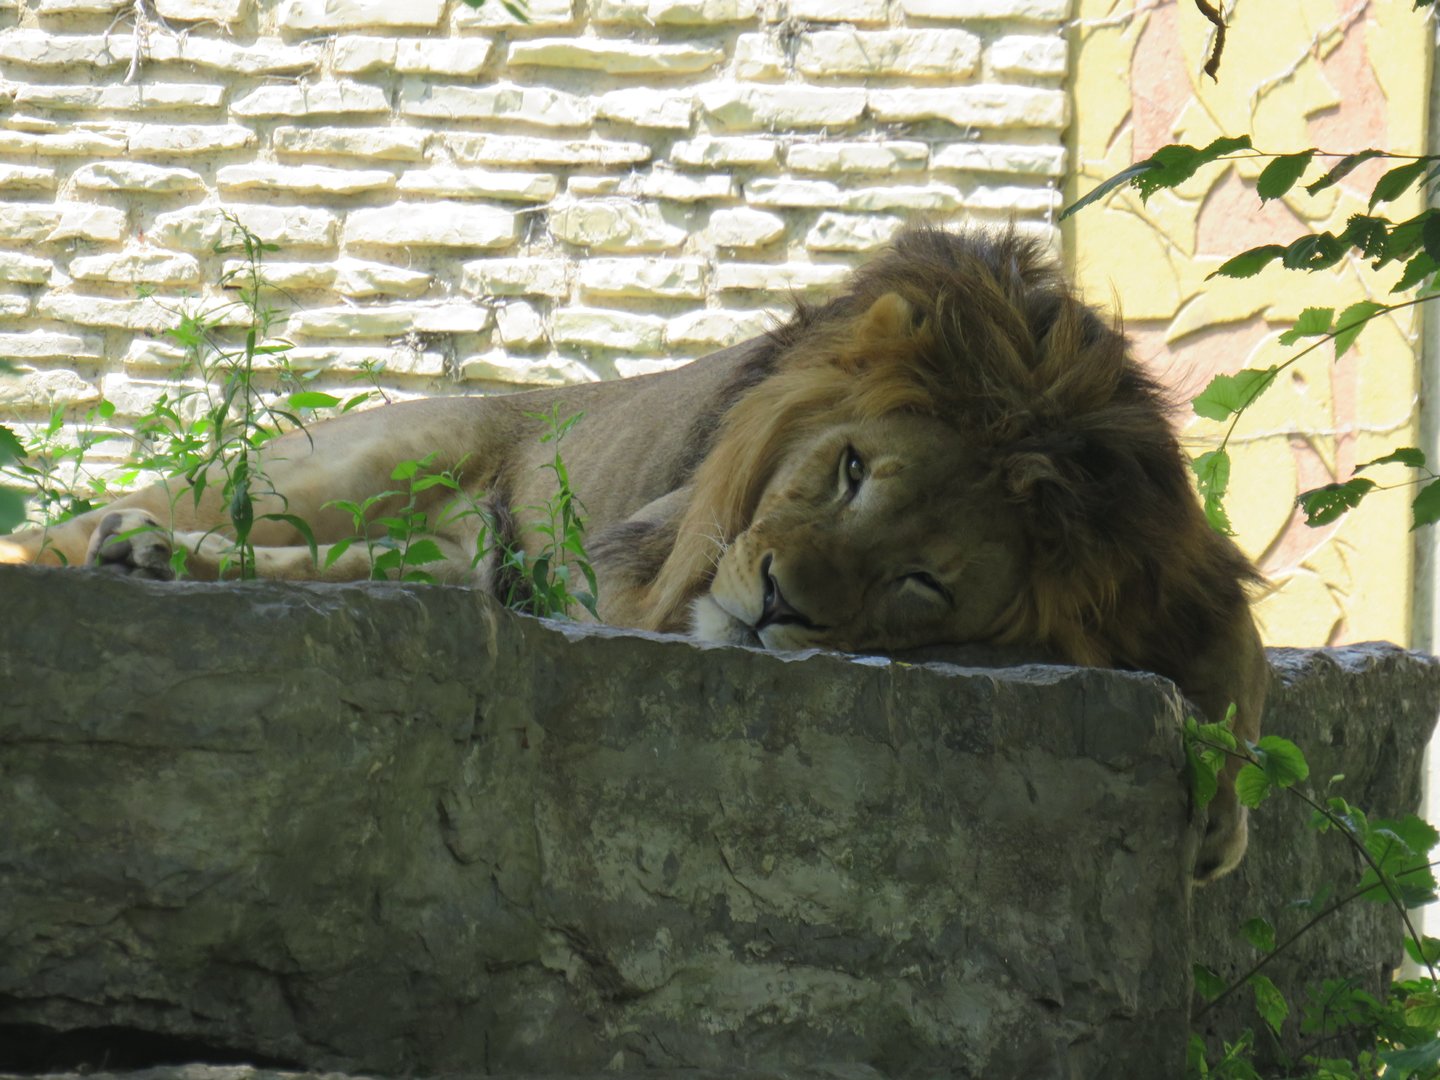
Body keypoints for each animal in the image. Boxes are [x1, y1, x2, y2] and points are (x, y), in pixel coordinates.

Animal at [0, 226, 1267, 881]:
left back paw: (150, 557)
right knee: (84, 525)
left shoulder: (1172, 562)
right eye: (852, 468)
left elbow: (1239, 646)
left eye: (923, 583)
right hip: (374, 458)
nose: (776, 603)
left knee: (432, 569)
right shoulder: (633, 555)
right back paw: (113, 545)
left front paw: (1220, 814)